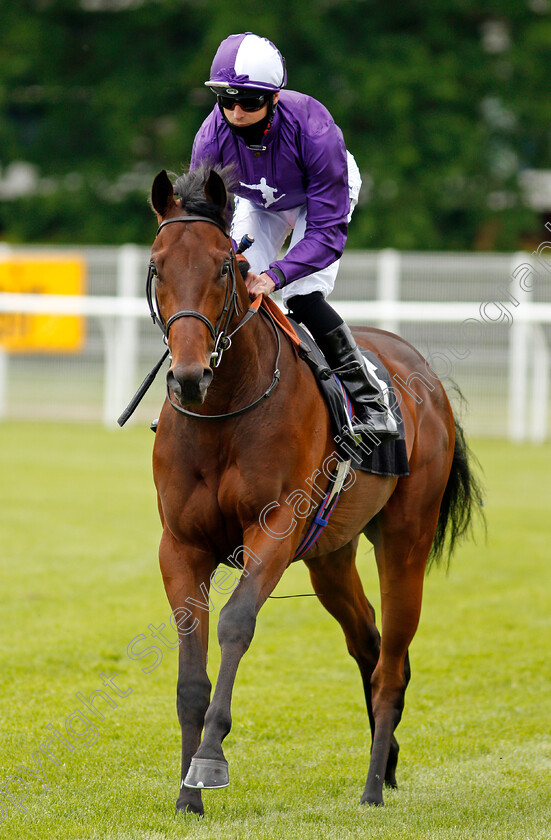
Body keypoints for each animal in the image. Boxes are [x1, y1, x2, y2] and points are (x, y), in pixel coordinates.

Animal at [148, 164, 484, 812]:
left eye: (224, 267)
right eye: (156, 265)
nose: (189, 376)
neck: (223, 412)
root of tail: (424, 376)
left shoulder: (276, 527)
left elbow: (235, 623)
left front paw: (209, 760)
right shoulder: (179, 544)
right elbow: (189, 670)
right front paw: (185, 797)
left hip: (405, 539)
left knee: (392, 660)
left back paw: (374, 785)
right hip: (330, 556)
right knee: (368, 641)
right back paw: (389, 761)